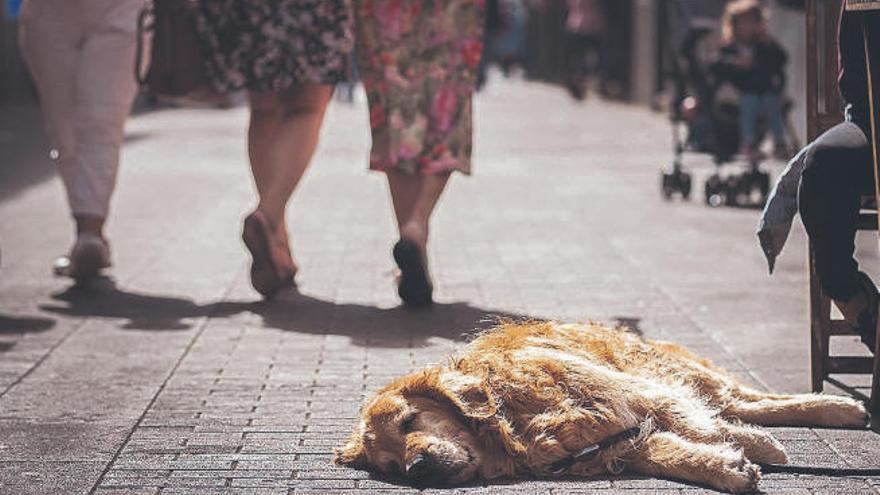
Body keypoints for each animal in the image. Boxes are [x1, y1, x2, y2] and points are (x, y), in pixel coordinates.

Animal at [336, 322, 868, 492]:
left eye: (411, 420)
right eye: (391, 468)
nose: (417, 469)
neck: (516, 420)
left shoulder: (631, 393)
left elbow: (694, 422)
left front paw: (748, 448)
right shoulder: (618, 441)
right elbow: (671, 452)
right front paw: (725, 467)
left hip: (671, 371)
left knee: (746, 399)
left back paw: (841, 407)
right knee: (740, 405)